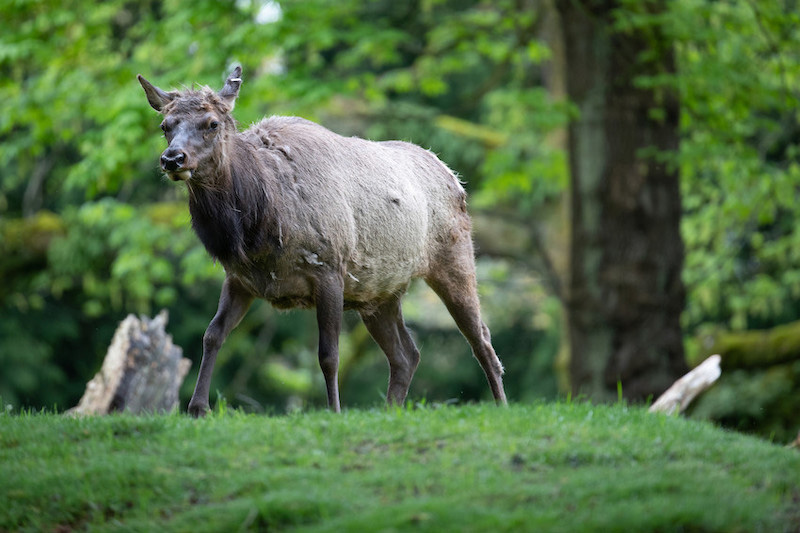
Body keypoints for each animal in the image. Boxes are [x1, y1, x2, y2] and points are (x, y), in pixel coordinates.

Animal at [138, 66, 507, 416]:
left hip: (454, 255)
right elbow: (212, 335)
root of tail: (453, 176)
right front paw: (197, 409)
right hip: (380, 291)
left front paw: (334, 410)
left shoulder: (329, 268)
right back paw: (390, 410)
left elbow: (328, 354)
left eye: (212, 123)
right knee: (407, 354)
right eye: (165, 125)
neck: (260, 224)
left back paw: (501, 405)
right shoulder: (240, 278)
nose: (172, 158)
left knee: (481, 338)